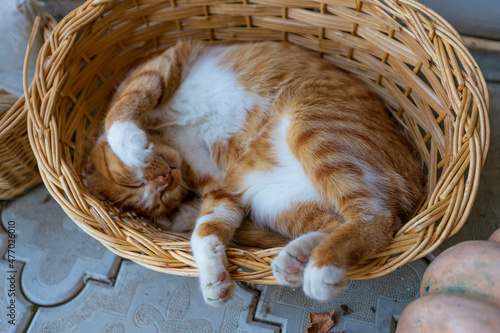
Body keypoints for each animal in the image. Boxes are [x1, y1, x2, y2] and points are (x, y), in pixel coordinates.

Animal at [86, 41, 422, 306]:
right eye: (161, 196)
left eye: (135, 181)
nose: (165, 177)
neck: (166, 135)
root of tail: (416, 176)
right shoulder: (222, 185)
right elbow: (205, 231)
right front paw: (214, 280)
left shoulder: (161, 66)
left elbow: (120, 112)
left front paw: (131, 145)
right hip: (271, 199)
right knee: (339, 223)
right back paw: (298, 259)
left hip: (312, 124)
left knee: (376, 217)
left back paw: (321, 268)